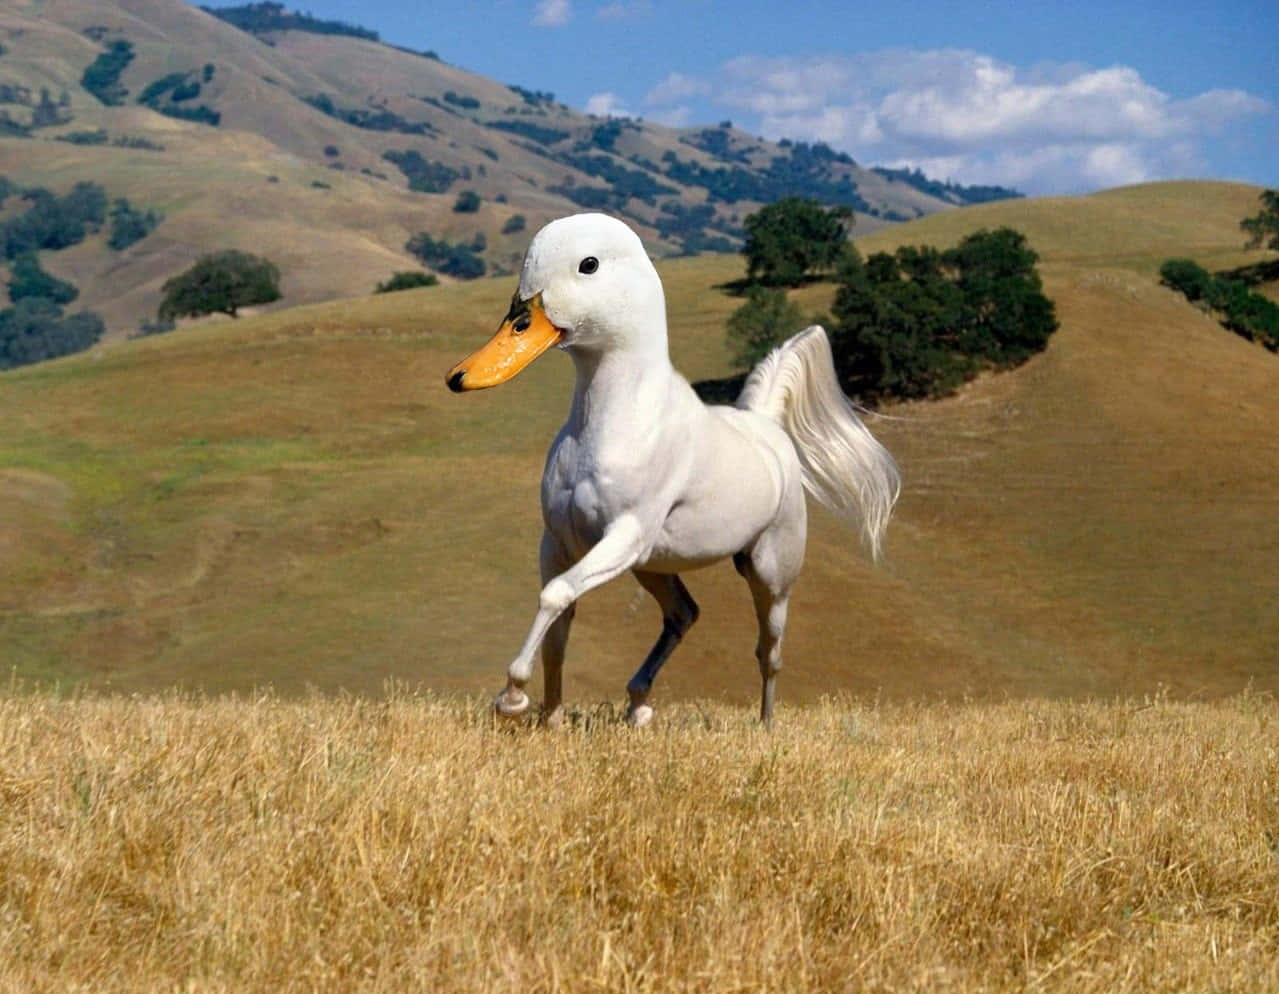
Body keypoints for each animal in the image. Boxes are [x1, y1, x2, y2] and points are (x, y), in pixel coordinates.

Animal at [446, 212, 899, 726]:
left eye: (588, 264)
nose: (462, 376)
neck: (610, 427)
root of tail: (764, 424)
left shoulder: (623, 535)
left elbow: (555, 596)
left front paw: (513, 696)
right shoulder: (560, 542)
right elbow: (559, 629)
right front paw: (550, 718)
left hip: (769, 571)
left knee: (769, 650)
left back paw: (765, 725)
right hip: (653, 566)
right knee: (685, 613)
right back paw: (638, 704)